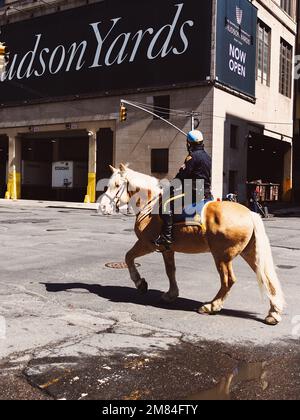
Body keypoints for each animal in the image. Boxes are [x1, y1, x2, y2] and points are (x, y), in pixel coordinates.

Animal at [100, 164, 284, 324]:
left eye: (117, 185)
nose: (102, 207)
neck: (150, 205)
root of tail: (250, 214)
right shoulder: (167, 249)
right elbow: (170, 271)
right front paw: (171, 294)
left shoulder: (147, 244)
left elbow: (129, 257)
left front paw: (140, 283)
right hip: (249, 253)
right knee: (267, 278)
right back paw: (274, 313)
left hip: (222, 256)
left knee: (228, 280)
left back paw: (211, 306)